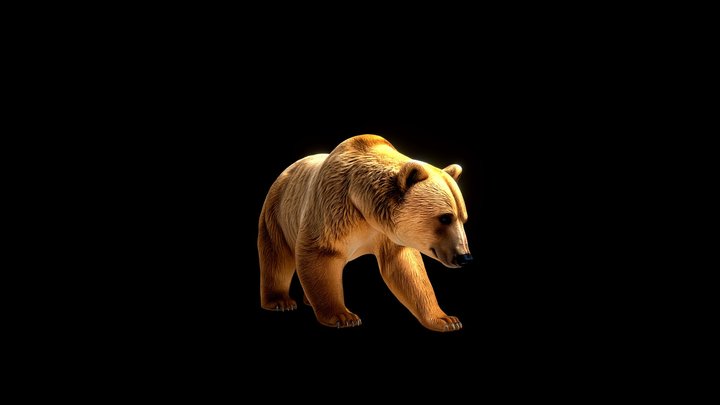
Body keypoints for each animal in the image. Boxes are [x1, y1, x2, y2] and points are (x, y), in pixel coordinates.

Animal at [258, 134, 472, 332]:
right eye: (445, 218)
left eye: (463, 218)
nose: (465, 256)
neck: (365, 209)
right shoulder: (332, 210)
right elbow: (321, 253)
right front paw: (344, 316)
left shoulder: (388, 234)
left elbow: (407, 270)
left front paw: (447, 319)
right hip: (277, 214)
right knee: (277, 257)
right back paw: (281, 302)